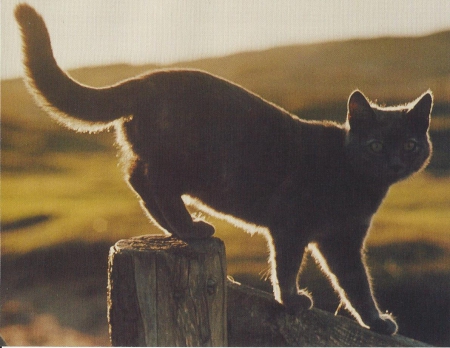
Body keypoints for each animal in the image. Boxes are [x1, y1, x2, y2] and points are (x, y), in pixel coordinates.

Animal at [16, 2, 432, 334]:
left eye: (410, 145)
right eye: (375, 145)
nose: (394, 161)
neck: (357, 184)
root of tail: (146, 79)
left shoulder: (343, 241)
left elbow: (356, 284)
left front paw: (376, 322)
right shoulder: (292, 224)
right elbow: (287, 265)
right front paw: (292, 300)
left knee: (139, 179)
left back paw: (179, 228)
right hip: (184, 160)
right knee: (152, 183)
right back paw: (190, 228)